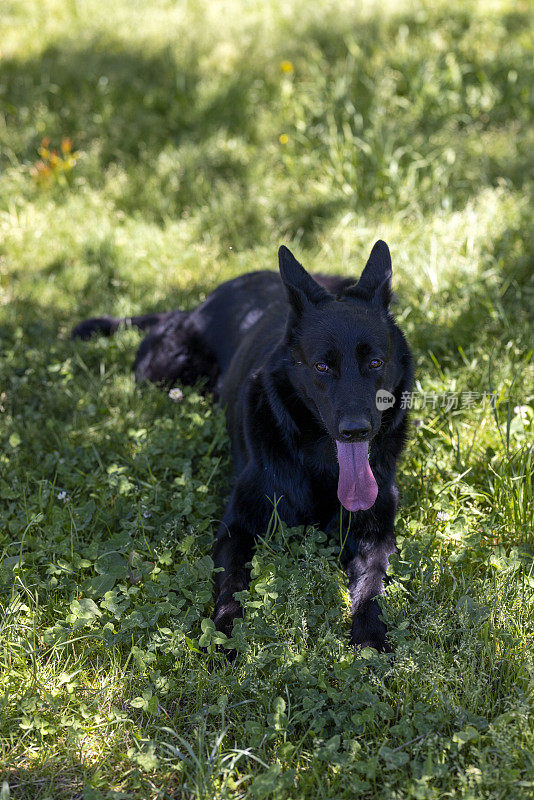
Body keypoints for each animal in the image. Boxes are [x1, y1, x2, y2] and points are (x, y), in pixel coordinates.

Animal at [72, 244, 414, 656]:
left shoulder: (376, 534)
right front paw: (226, 632)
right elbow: (232, 583)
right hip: (160, 372)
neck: (321, 466)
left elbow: (372, 586)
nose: (355, 431)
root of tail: (202, 304)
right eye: (322, 366)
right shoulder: (238, 529)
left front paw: (371, 635)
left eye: (375, 362)